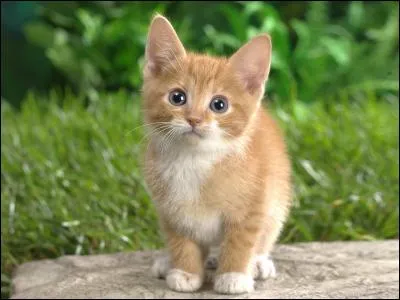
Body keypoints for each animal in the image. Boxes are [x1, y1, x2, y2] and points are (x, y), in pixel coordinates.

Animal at [142, 14, 292, 296]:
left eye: (219, 104)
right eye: (177, 97)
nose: (194, 119)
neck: (194, 160)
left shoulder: (253, 204)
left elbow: (241, 240)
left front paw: (234, 276)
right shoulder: (170, 210)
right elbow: (180, 240)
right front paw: (185, 272)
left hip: (278, 203)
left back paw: (257, 263)